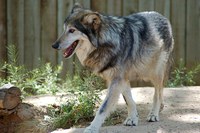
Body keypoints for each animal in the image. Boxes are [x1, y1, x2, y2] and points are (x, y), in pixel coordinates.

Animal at [52, 3, 174, 133]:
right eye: (64, 29)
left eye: (72, 30)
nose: (54, 45)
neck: (105, 42)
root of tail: (163, 17)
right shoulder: (120, 78)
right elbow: (129, 100)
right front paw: (132, 118)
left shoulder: (117, 80)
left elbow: (103, 108)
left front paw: (92, 128)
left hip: (155, 72)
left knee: (158, 93)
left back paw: (154, 114)